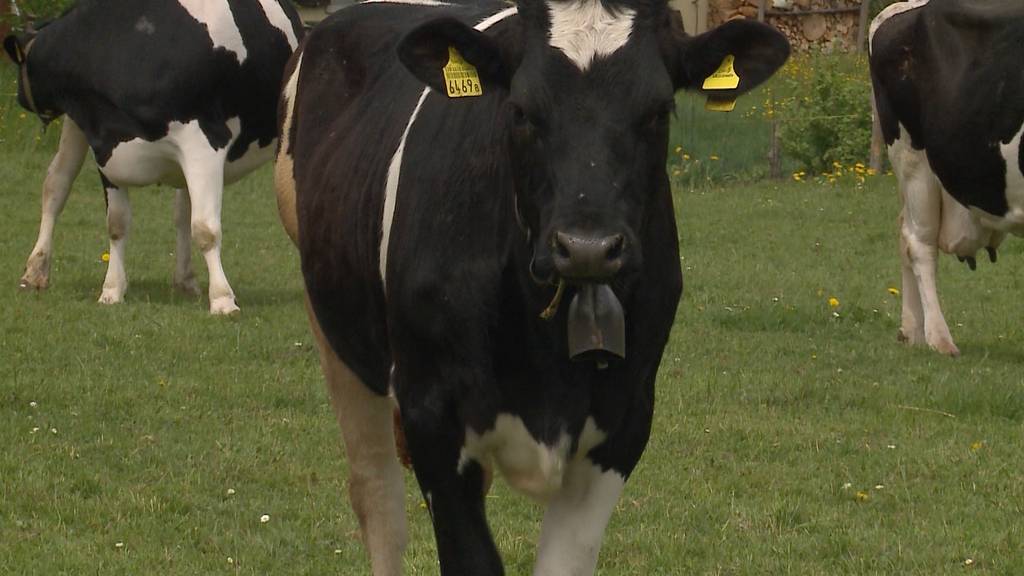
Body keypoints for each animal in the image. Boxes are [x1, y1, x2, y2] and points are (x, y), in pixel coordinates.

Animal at [4, 1, 303, 313]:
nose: (20, 97)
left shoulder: (204, 141)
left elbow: (205, 228)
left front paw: (222, 299)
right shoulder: (105, 146)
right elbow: (117, 224)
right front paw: (112, 290)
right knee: (59, 183)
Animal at [276, 1, 786, 569]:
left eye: (659, 110)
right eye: (519, 110)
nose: (586, 246)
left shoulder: (625, 422)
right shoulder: (431, 415)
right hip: (335, 335)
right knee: (378, 501)